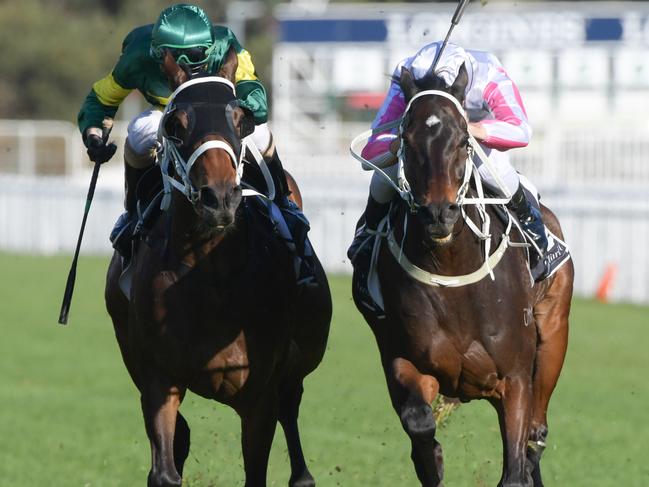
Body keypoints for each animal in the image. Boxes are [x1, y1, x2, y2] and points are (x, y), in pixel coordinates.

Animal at [105, 49, 332, 487]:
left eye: (241, 119)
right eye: (176, 124)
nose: (220, 199)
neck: (209, 280)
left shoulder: (259, 393)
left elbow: (257, 468)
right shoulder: (160, 379)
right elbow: (165, 467)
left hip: (295, 366)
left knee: (291, 410)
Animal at [350, 63, 572, 487]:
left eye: (463, 140)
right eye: (407, 139)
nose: (439, 213)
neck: (453, 271)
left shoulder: (515, 378)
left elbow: (515, 466)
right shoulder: (403, 357)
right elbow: (420, 426)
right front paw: (433, 455)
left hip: (552, 336)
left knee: (536, 435)